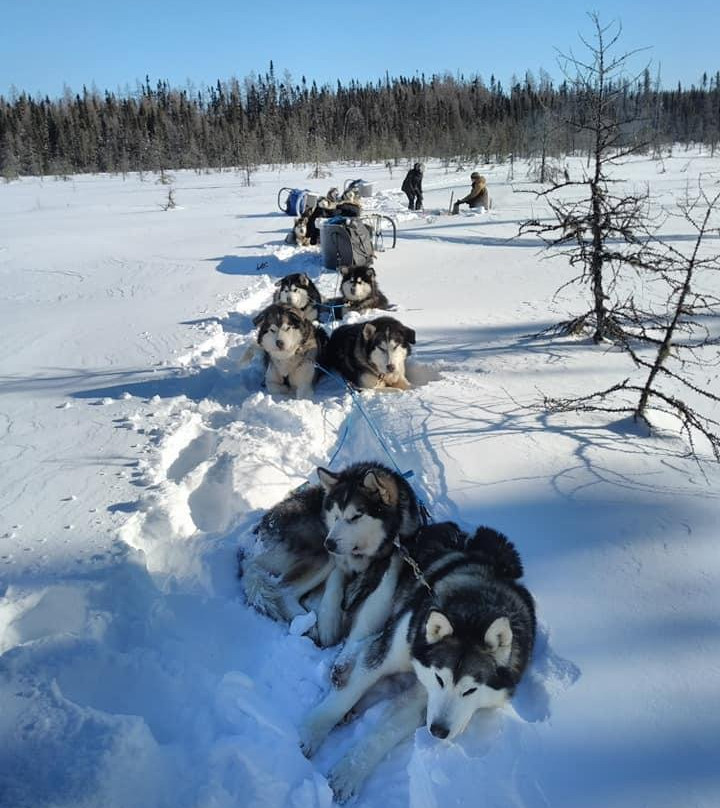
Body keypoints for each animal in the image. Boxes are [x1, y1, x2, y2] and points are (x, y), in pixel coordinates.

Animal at [240, 464, 422, 648]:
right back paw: (306, 624)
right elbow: (335, 581)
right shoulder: (336, 559)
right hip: (321, 556)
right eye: (335, 516)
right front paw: (329, 624)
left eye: (355, 516)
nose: (329, 544)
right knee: (284, 591)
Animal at [298, 524, 536, 800]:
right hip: (384, 593)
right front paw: (310, 733)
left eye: (471, 690)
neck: (474, 613)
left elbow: (386, 731)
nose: (439, 732)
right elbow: (345, 695)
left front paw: (350, 772)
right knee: (362, 640)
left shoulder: (425, 696)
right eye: (440, 679)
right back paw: (344, 667)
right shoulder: (392, 655)